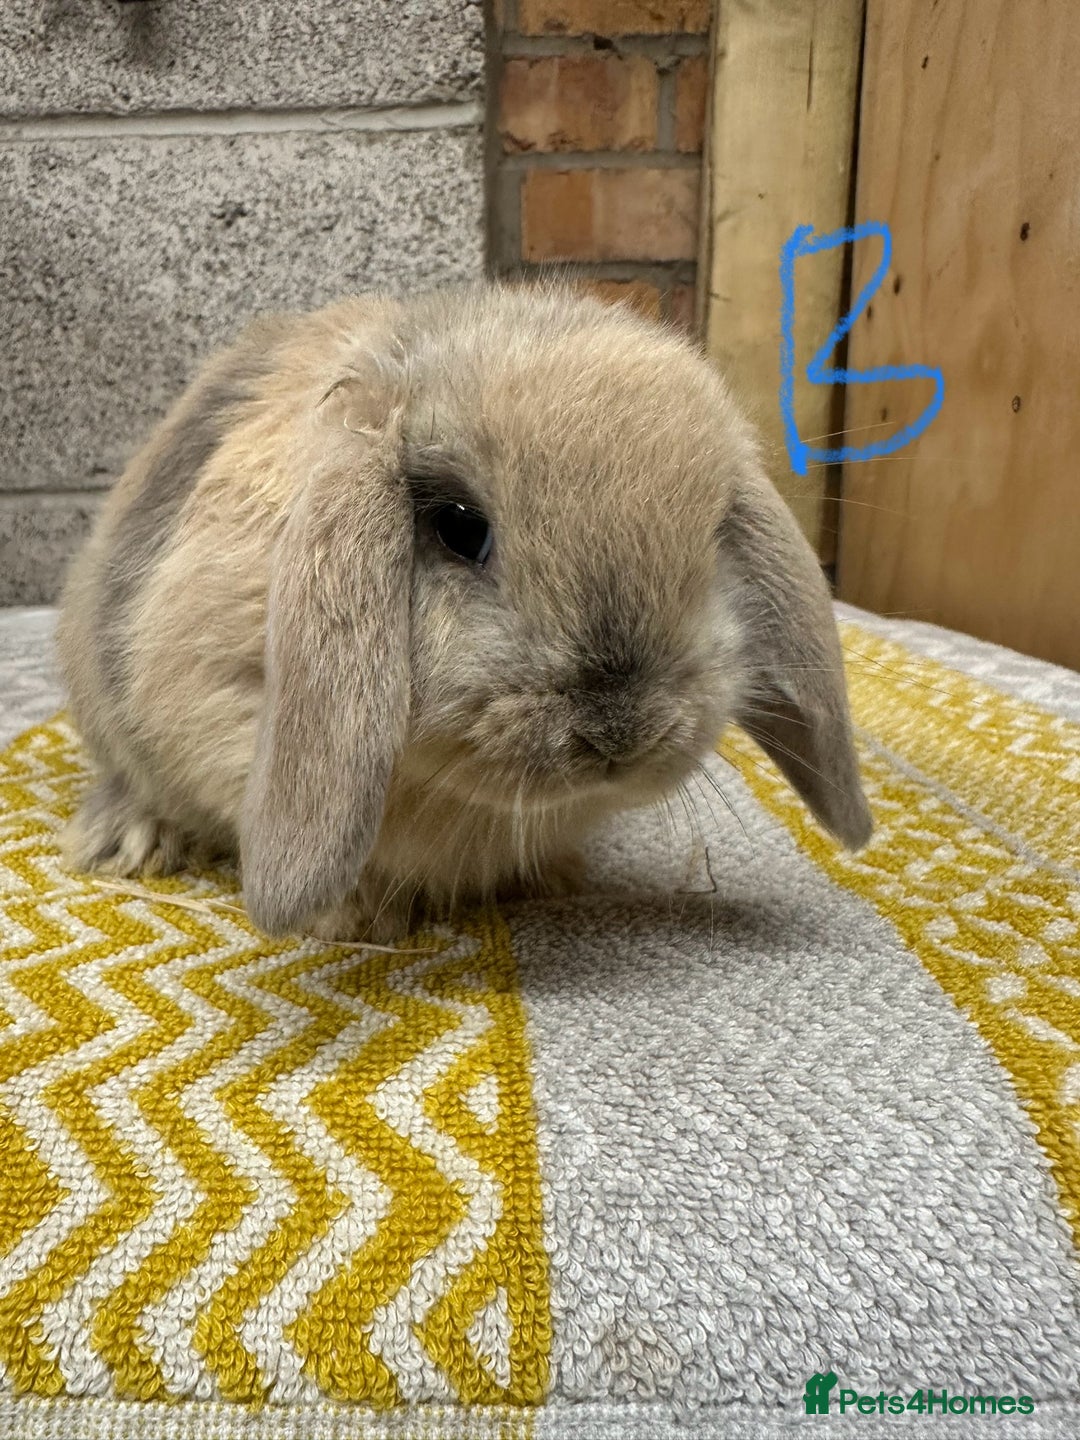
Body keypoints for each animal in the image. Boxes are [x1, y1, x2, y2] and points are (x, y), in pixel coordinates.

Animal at [57, 281, 872, 943]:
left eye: (711, 538)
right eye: (459, 527)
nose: (622, 733)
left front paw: (553, 880)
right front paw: (354, 920)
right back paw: (129, 842)